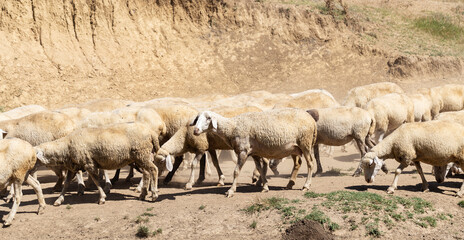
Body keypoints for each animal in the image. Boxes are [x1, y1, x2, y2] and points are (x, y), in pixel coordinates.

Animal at [190, 108, 318, 197]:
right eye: (197, 119)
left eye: (208, 118)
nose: (195, 130)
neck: (232, 127)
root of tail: (312, 120)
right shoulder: (254, 153)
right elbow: (260, 170)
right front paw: (265, 187)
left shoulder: (243, 151)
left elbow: (236, 172)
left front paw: (231, 191)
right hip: (296, 147)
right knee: (299, 163)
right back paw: (290, 184)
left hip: (305, 143)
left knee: (310, 164)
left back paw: (306, 185)